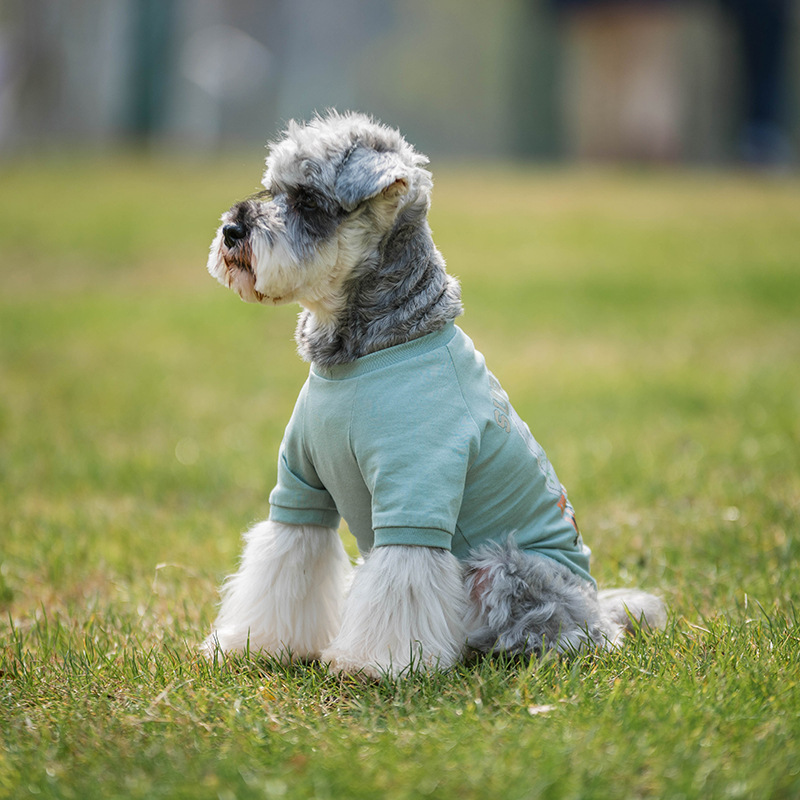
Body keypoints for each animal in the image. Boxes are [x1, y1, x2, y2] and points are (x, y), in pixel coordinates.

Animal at [203, 109, 664, 680]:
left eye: (309, 200)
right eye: (272, 187)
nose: (231, 231)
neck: (356, 354)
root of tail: (598, 606)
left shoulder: (415, 494)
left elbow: (402, 585)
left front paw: (375, 664)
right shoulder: (300, 492)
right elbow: (284, 567)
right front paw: (257, 644)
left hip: (503, 566)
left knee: (559, 630)